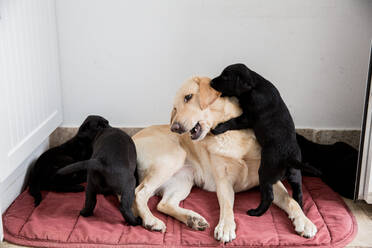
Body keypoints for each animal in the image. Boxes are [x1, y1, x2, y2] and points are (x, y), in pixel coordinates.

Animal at [132, 76, 316, 242]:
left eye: (188, 97)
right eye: (175, 108)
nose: (174, 128)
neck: (230, 132)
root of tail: (132, 138)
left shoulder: (269, 180)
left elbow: (291, 200)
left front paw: (305, 221)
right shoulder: (223, 182)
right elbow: (227, 205)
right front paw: (226, 227)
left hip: (183, 179)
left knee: (163, 204)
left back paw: (193, 220)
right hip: (174, 157)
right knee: (139, 193)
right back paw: (151, 221)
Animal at [209, 64, 320, 217]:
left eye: (226, 76)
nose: (211, 82)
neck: (255, 85)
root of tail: (289, 158)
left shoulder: (248, 117)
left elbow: (233, 121)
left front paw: (218, 128)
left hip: (265, 172)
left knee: (269, 196)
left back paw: (256, 212)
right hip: (295, 174)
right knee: (299, 192)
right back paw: (301, 208)